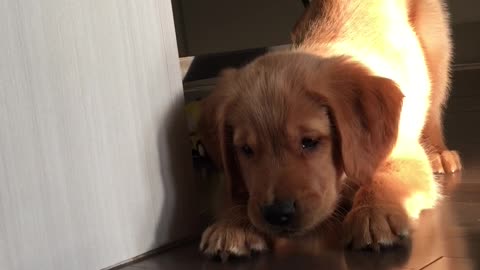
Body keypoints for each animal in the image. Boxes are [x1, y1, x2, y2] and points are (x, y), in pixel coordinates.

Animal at [197, 0, 460, 260]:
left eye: (310, 141)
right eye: (246, 150)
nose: (277, 214)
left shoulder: (404, 154)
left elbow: (385, 176)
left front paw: (373, 214)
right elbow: (239, 192)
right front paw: (232, 225)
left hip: (435, 45)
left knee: (433, 109)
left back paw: (439, 154)